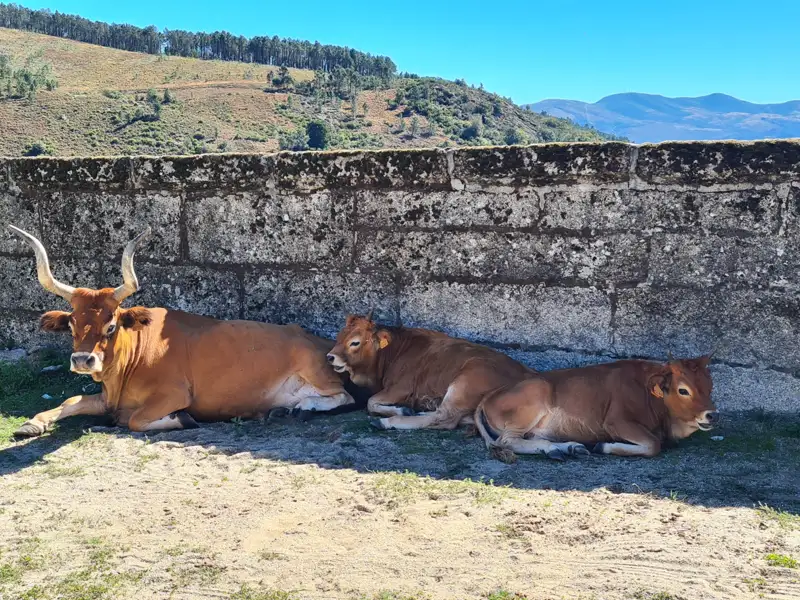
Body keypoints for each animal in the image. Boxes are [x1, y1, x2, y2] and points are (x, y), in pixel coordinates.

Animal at [8, 224, 359, 437]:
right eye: (72, 323)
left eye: (111, 325)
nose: (83, 360)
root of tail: (319, 339)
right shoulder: (107, 397)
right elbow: (71, 401)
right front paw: (32, 424)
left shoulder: (174, 393)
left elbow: (133, 419)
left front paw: (182, 419)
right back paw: (282, 410)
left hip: (315, 369)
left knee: (343, 397)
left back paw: (301, 408)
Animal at [326, 313, 533, 431]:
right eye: (339, 336)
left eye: (355, 342)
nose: (330, 357)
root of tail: (526, 373)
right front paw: (405, 410)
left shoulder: (401, 388)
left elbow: (370, 402)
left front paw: (400, 410)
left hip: (464, 384)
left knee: (445, 417)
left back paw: (388, 422)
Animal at [474, 356, 718, 460]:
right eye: (683, 390)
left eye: (710, 385)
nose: (711, 415)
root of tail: (489, 396)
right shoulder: (616, 422)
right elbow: (652, 445)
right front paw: (603, 446)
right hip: (534, 399)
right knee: (508, 441)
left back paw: (569, 448)